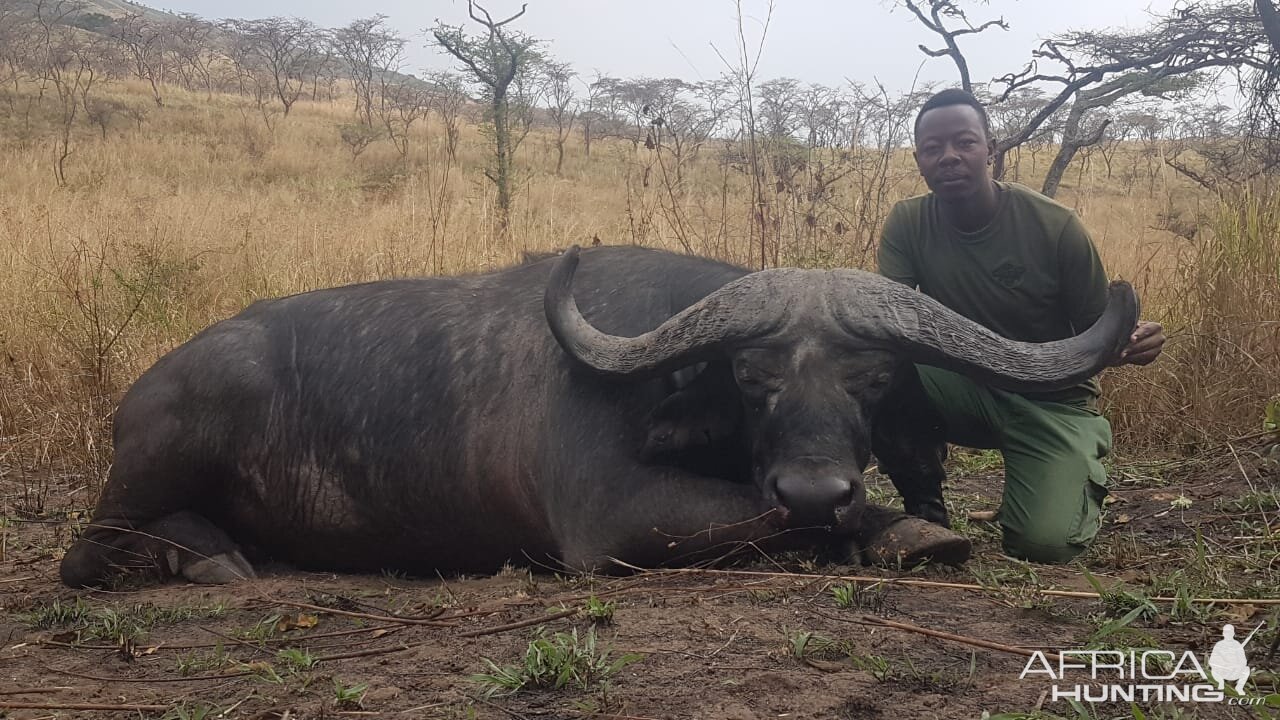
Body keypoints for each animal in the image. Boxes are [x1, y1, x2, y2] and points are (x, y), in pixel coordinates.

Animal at [60, 243, 1141, 586]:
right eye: (752, 376)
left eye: (873, 378)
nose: (812, 485)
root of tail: (151, 382)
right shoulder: (612, 522)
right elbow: (802, 525)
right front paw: (905, 533)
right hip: (177, 435)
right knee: (83, 555)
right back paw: (205, 558)